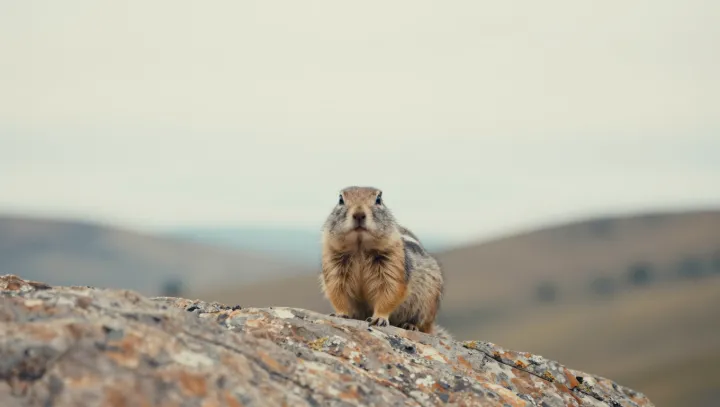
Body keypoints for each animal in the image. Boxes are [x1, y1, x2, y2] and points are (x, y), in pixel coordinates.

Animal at [319, 186, 448, 337]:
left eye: (378, 199)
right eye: (340, 199)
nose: (359, 214)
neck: (360, 247)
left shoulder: (393, 263)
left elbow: (390, 290)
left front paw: (379, 318)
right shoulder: (334, 265)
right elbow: (337, 291)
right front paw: (341, 314)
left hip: (427, 304)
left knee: (423, 325)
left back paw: (410, 325)